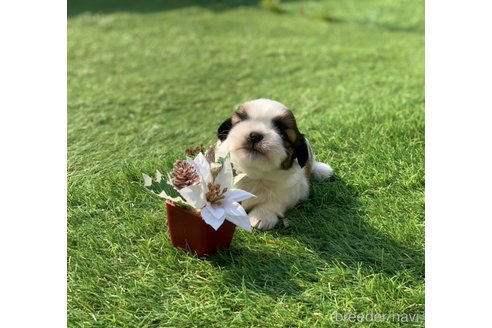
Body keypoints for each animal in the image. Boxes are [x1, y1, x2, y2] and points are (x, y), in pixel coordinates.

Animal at [213, 98, 332, 229]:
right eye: (240, 122)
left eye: (283, 134)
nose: (255, 136)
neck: (253, 174)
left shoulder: (290, 188)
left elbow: (275, 201)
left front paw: (261, 216)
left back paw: (323, 170)